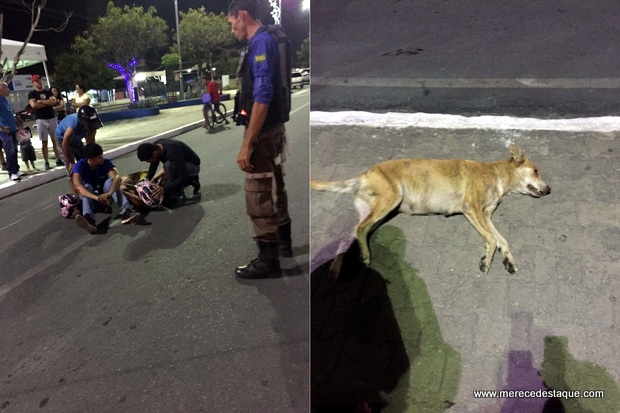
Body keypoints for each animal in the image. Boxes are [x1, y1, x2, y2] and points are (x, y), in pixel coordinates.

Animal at [312, 145, 548, 276]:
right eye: (536, 170)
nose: (549, 190)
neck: (496, 175)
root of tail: (365, 174)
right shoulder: (472, 208)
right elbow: (491, 240)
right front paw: (486, 262)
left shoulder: (486, 214)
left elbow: (502, 240)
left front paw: (509, 261)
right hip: (389, 201)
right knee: (360, 229)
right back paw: (366, 257)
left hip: (379, 212)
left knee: (351, 234)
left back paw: (337, 268)